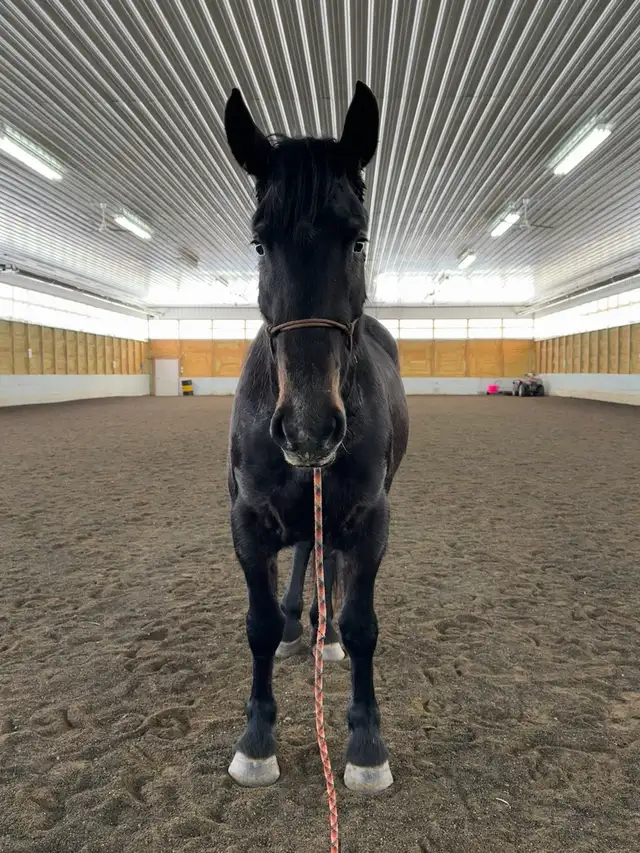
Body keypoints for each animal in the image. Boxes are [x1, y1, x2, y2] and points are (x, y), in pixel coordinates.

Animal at [223, 80, 409, 793]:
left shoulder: (372, 518)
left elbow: (361, 626)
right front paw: (256, 739)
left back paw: (320, 633)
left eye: (357, 241)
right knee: (305, 551)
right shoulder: (247, 520)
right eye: (259, 245)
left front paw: (365, 745)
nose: (308, 427)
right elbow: (255, 624)